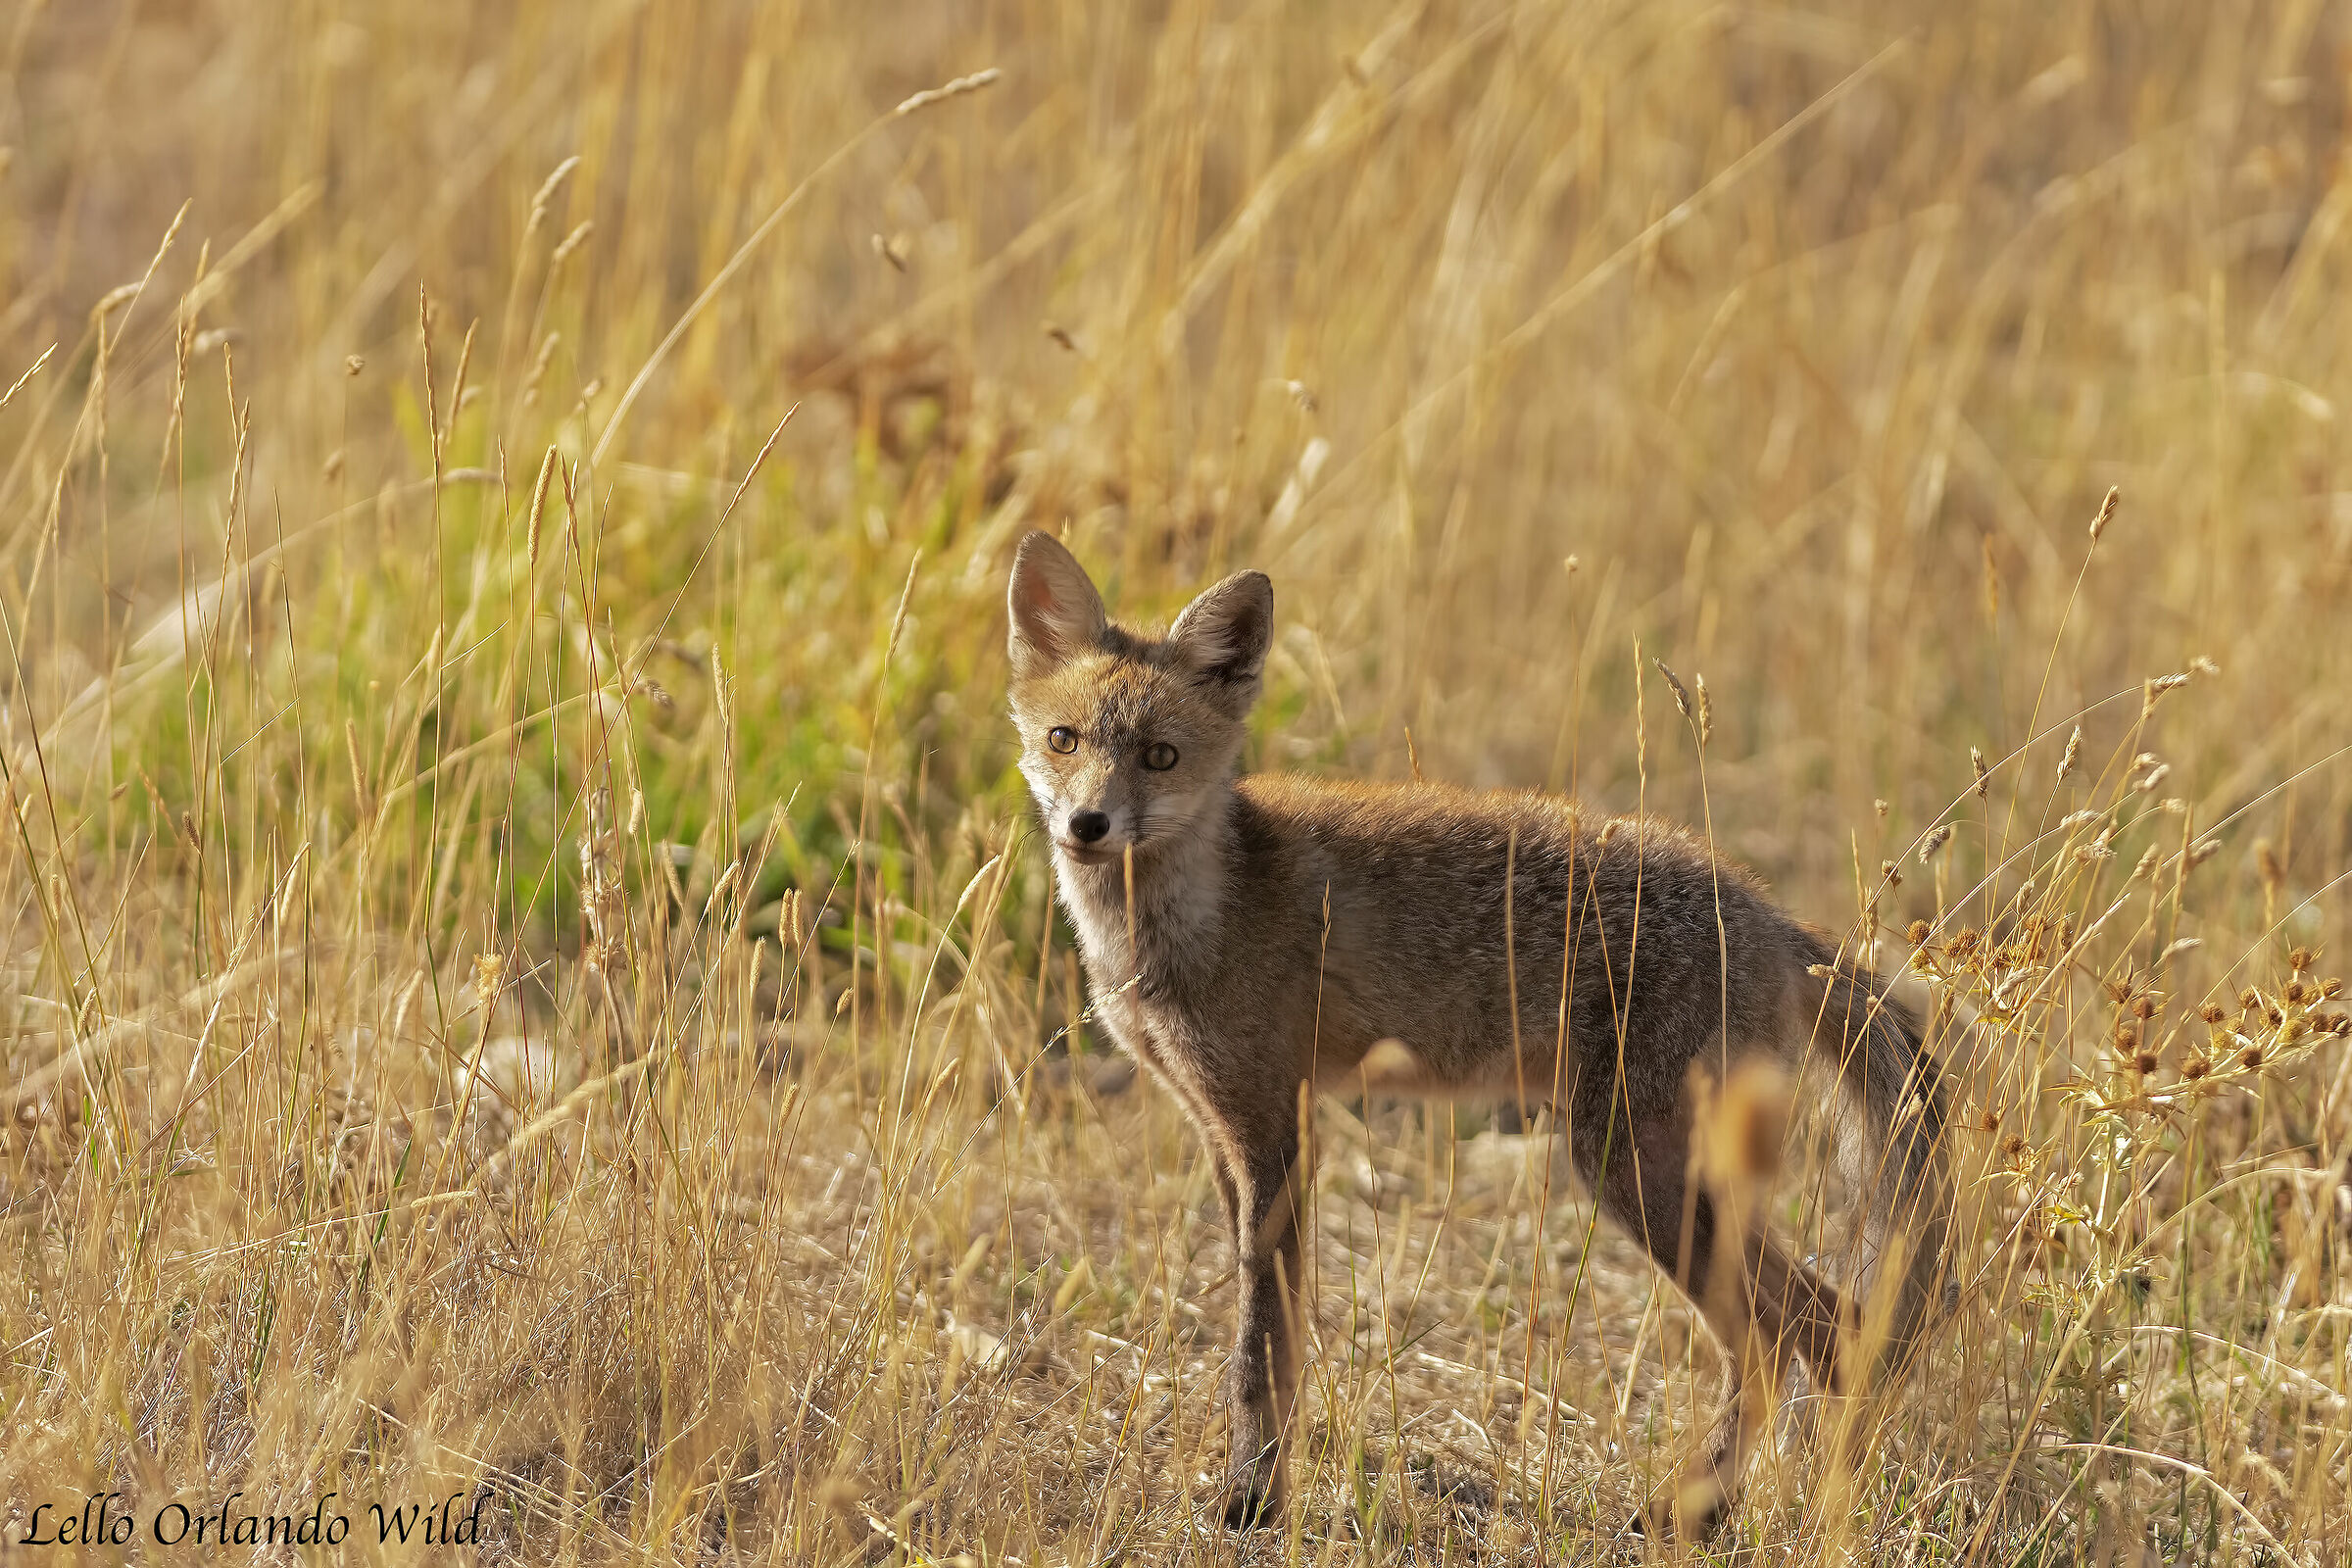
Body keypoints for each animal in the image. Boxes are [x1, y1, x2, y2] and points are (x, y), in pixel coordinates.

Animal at [1004, 530, 1953, 1537]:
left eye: (1160, 755)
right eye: (1065, 741)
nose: (1088, 824)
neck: (1196, 913)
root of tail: (1771, 916)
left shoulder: (1272, 1132)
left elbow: (1261, 1350)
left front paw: (1254, 1496)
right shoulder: (1225, 1130)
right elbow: (1266, 1333)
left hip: (1628, 1165)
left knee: (1812, 1336)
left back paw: (1763, 1504)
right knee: (1811, 1334)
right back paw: (1710, 1505)